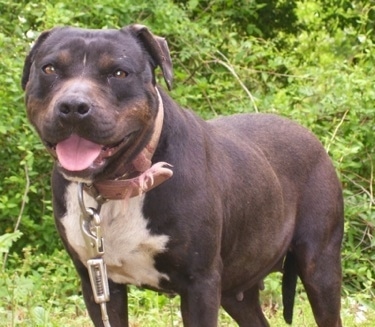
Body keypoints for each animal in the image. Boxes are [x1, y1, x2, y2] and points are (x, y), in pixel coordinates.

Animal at [21, 24, 344, 326]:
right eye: (49, 68)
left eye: (119, 72)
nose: (74, 106)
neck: (119, 185)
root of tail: (310, 136)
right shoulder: (97, 284)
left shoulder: (200, 284)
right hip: (237, 288)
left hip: (320, 267)